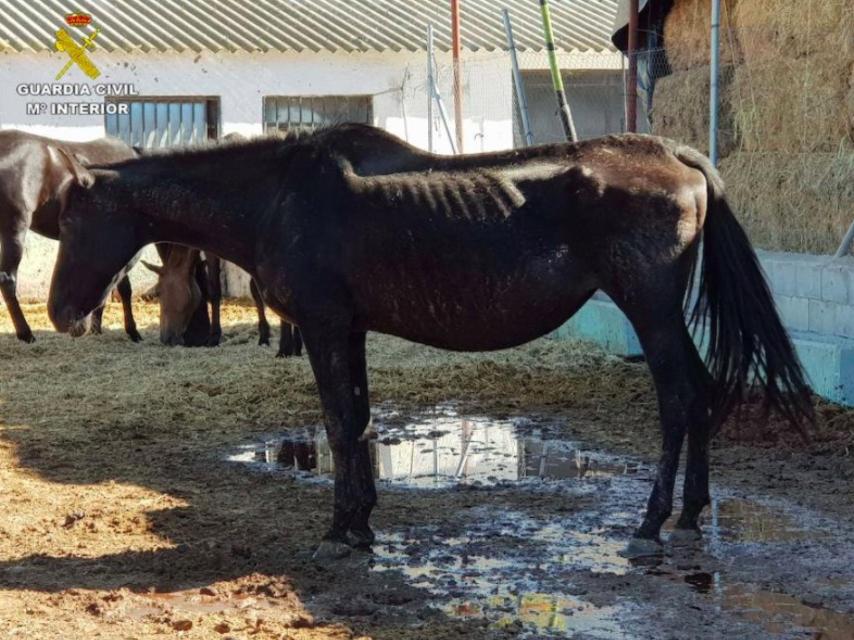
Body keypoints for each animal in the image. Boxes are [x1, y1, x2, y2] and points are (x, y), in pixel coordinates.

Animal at [48, 124, 816, 560]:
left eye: (76, 218)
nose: (59, 312)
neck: (278, 195)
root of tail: (679, 157)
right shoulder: (349, 329)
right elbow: (357, 421)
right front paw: (361, 525)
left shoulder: (324, 326)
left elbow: (340, 422)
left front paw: (338, 534)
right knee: (701, 394)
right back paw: (690, 516)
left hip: (649, 307)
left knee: (680, 398)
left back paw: (652, 524)